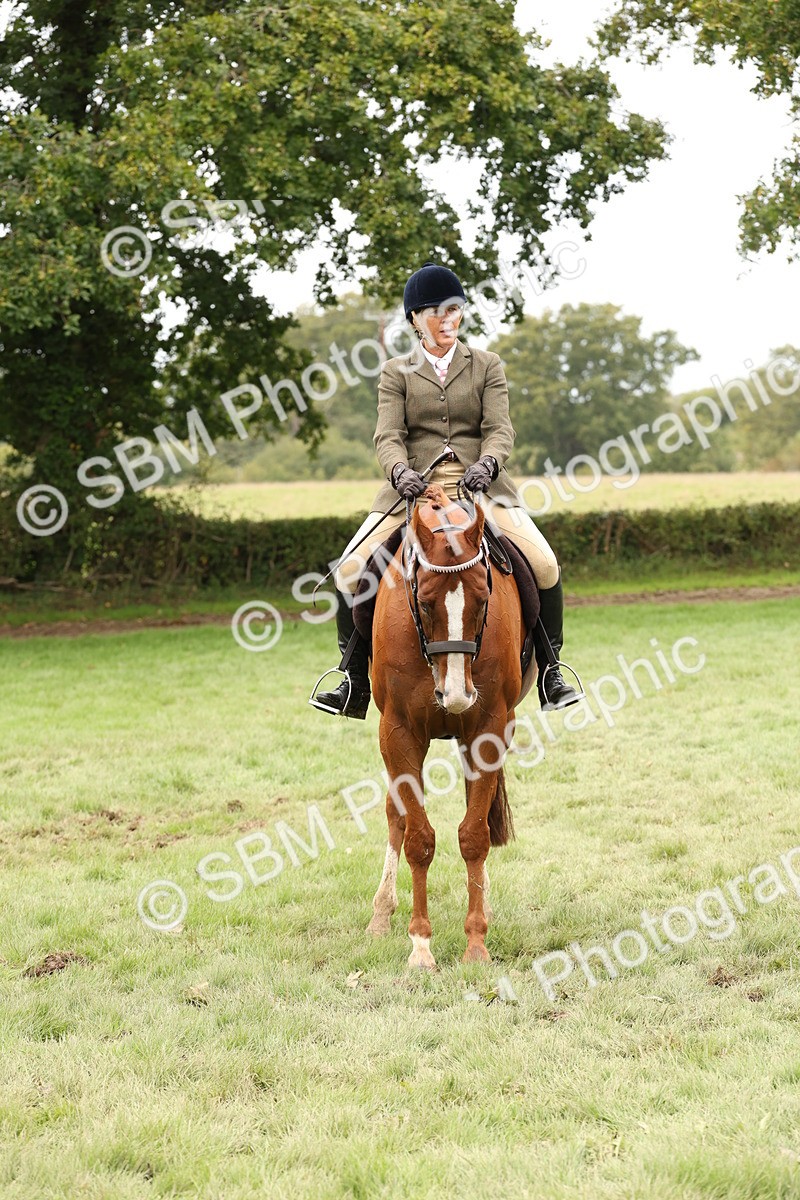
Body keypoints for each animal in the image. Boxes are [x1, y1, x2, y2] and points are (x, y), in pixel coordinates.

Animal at [366, 483, 527, 967]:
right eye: (423, 602)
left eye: (484, 599)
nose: (455, 695)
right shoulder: (397, 734)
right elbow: (419, 838)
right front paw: (420, 946)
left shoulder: (488, 730)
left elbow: (473, 836)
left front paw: (476, 942)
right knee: (395, 814)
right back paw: (381, 914)